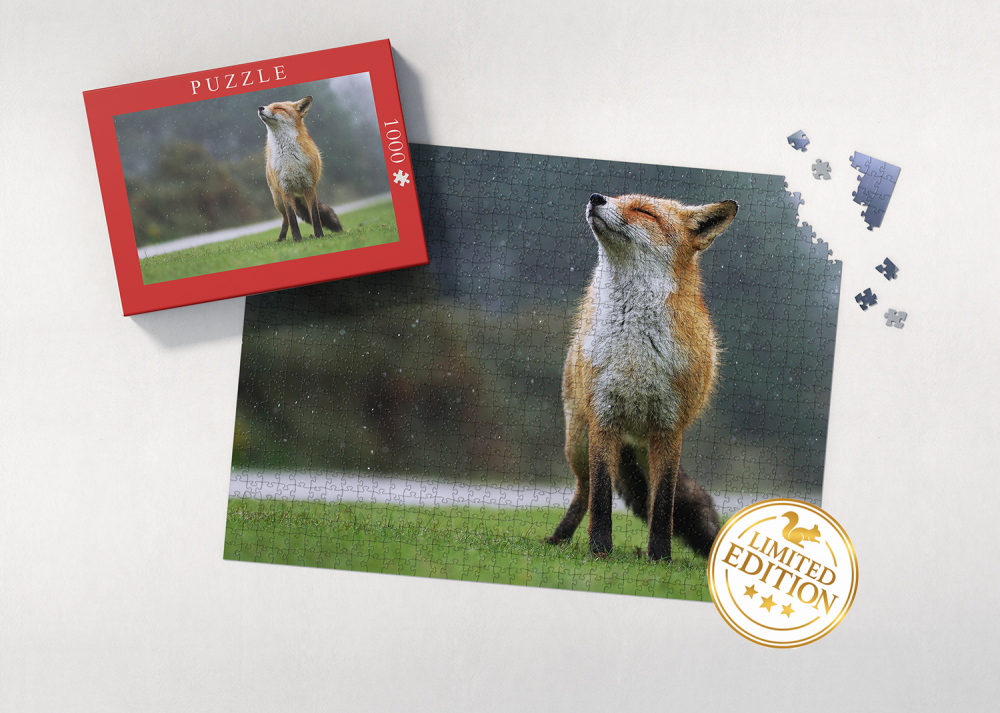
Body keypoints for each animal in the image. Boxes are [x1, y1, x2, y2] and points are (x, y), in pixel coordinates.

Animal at [257, 96, 343, 242]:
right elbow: (292, 218)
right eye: (267, 105)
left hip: (302, 194)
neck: (290, 159)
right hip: (278, 201)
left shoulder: (309, 186)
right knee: (285, 218)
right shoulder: (285, 188)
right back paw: (281, 239)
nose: (260, 108)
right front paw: (297, 239)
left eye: (279, 107)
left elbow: (315, 216)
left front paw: (319, 236)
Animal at [546, 192, 739, 561]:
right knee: (585, 489)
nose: (595, 197)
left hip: (645, 446)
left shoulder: (669, 426)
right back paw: (559, 538)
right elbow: (602, 495)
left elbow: (663, 503)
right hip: (577, 440)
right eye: (616, 197)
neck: (635, 350)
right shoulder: (604, 416)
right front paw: (599, 551)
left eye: (643, 211)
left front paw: (659, 557)